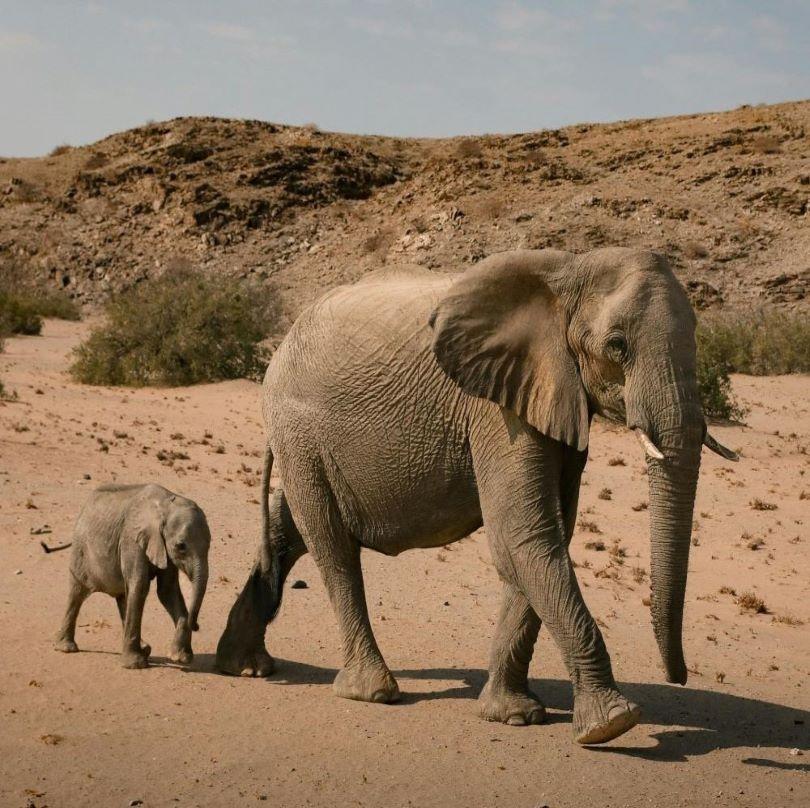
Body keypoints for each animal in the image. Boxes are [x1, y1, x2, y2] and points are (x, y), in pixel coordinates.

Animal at [54, 483, 211, 669]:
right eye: (181, 546)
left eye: (210, 544)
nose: (196, 625)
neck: (165, 505)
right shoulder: (132, 539)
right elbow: (140, 585)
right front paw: (135, 665)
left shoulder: (163, 548)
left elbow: (167, 591)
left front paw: (180, 658)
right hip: (80, 550)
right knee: (77, 593)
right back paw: (66, 648)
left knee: (124, 596)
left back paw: (145, 648)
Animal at [215, 248, 737, 744]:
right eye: (617, 345)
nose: (678, 677)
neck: (569, 273)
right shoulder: (495, 409)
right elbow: (525, 534)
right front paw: (612, 724)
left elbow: (540, 538)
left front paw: (513, 716)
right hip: (298, 427)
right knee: (331, 545)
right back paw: (371, 691)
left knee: (289, 531)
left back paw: (243, 666)